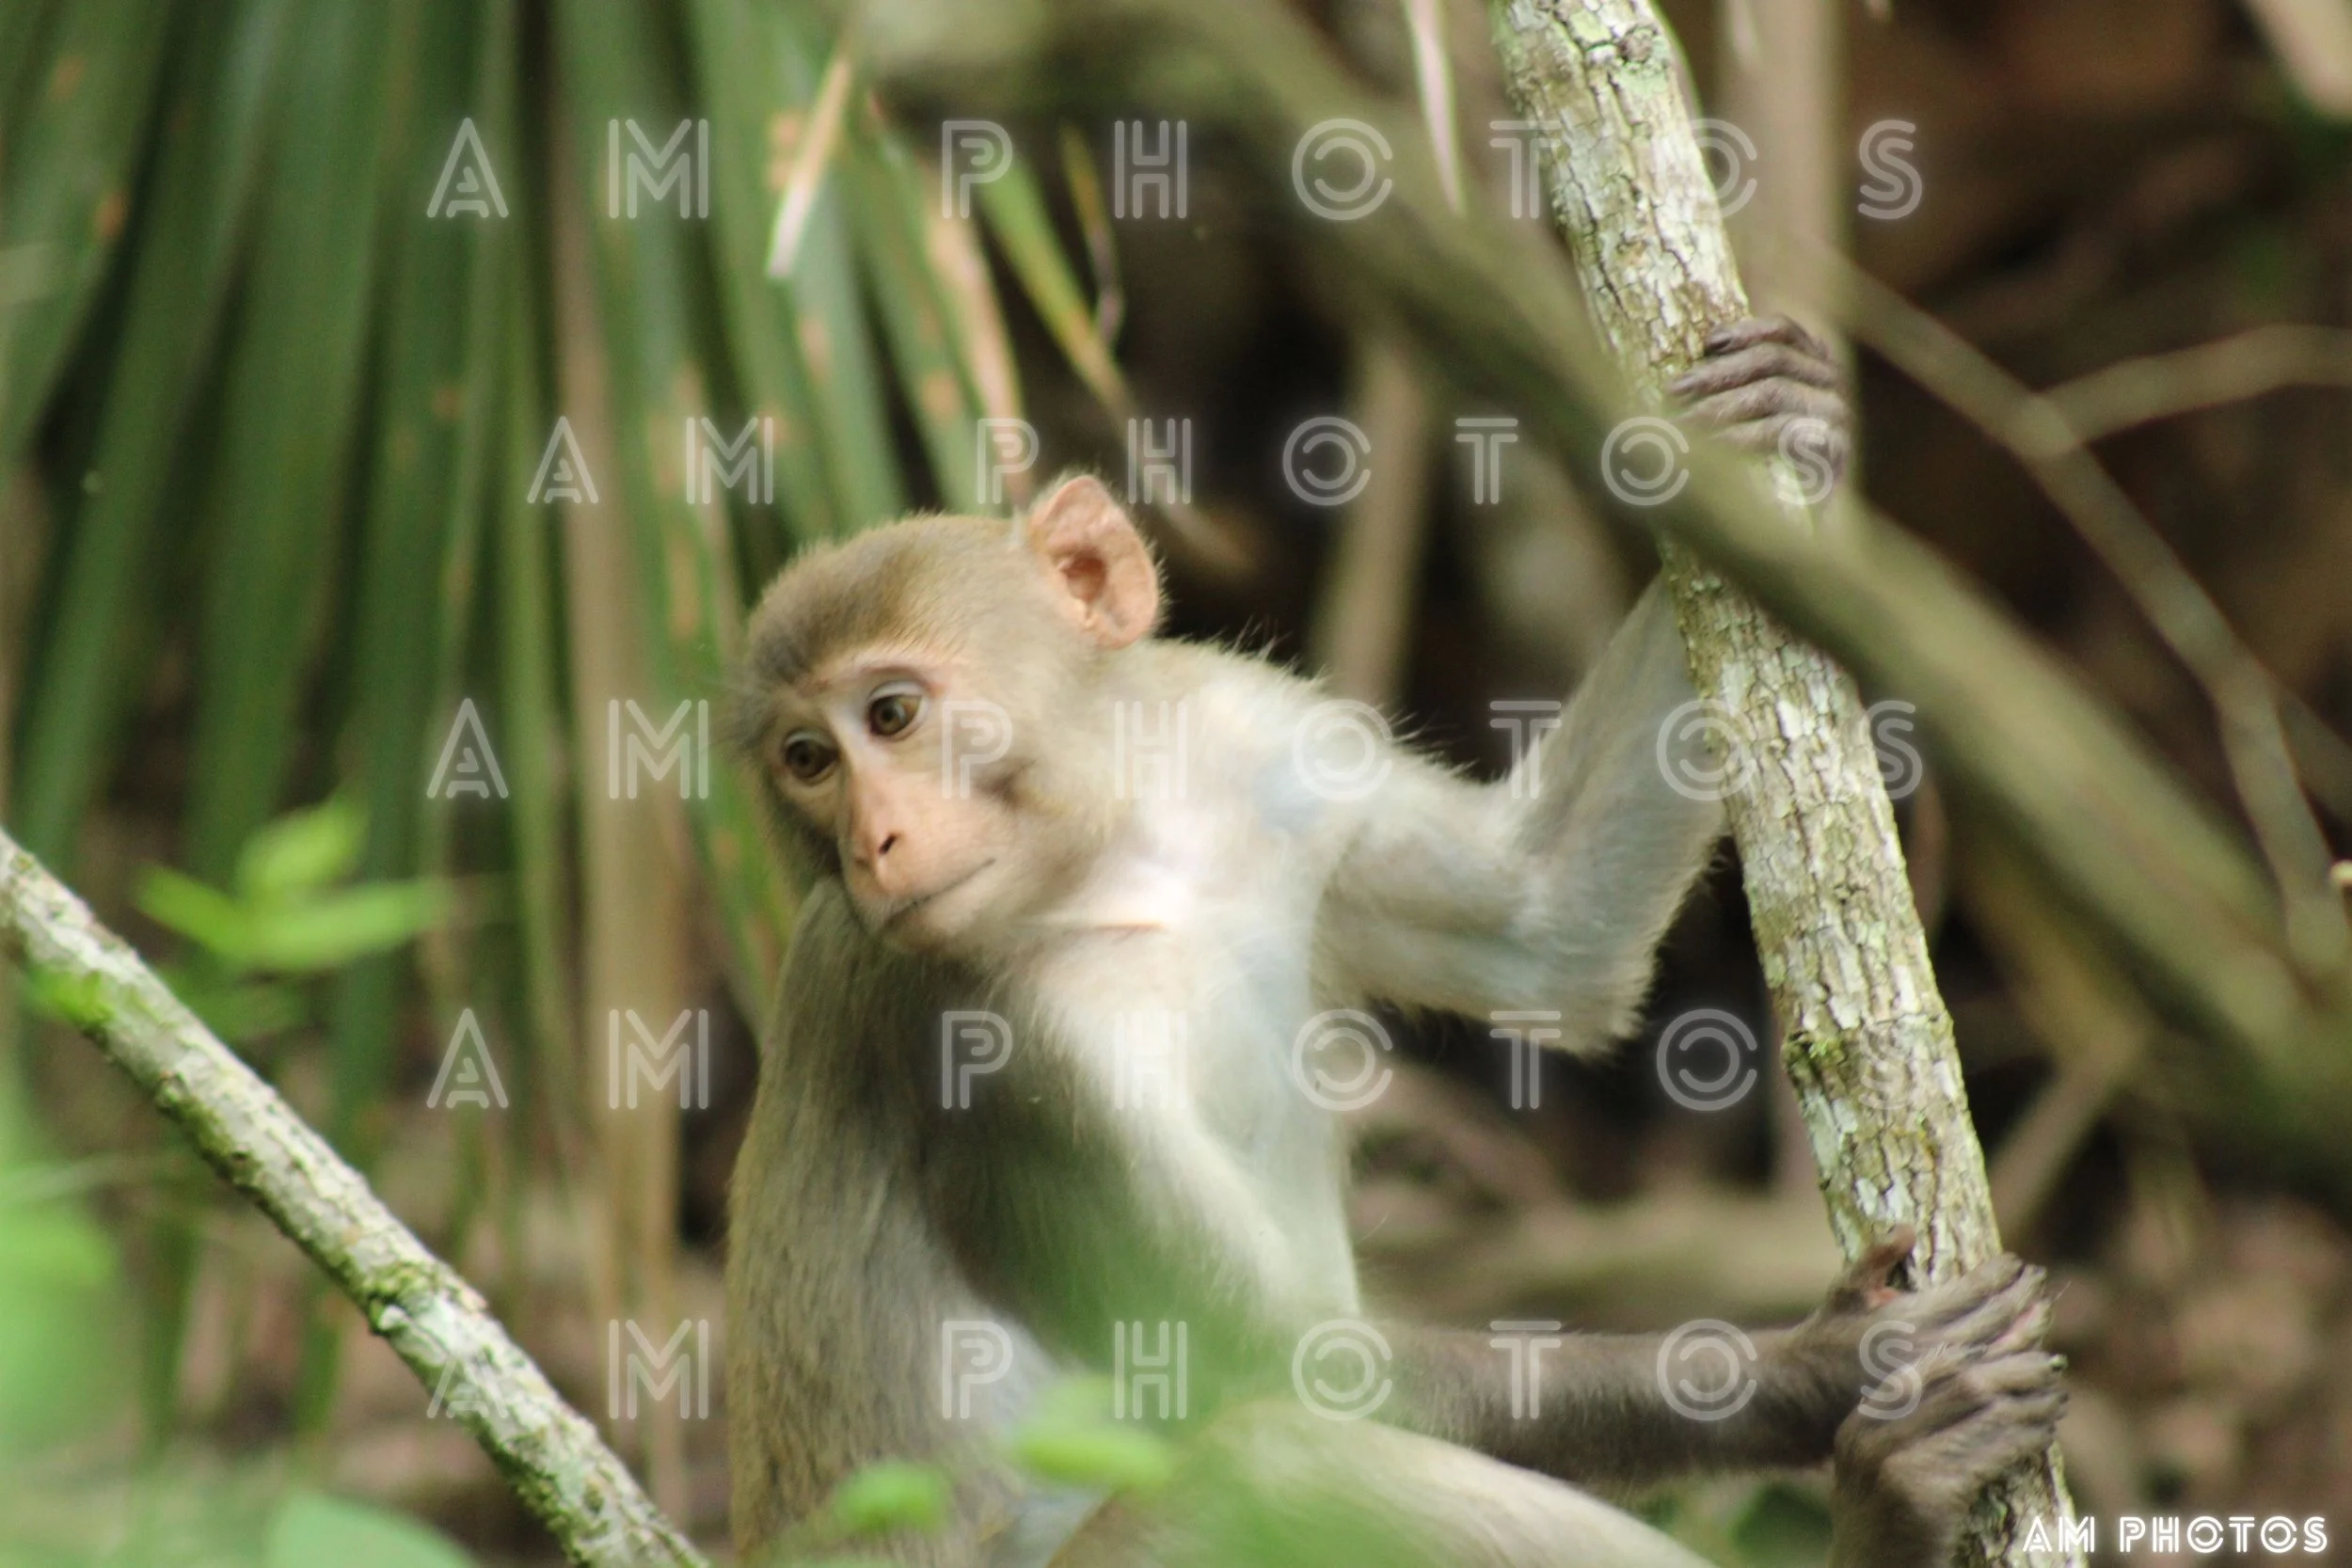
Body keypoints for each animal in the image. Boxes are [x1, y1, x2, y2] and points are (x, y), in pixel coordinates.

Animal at [723, 316, 2064, 1567]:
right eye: (809, 760)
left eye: (892, 714)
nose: (874, 841)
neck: (1118, 865)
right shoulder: (990, 1050)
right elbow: (1288, 1368)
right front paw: (1824, 1365)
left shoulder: (1257, 737)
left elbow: (1545, 926)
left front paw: (1778, 420)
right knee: (1277, 1453)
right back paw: (1882, 1525)